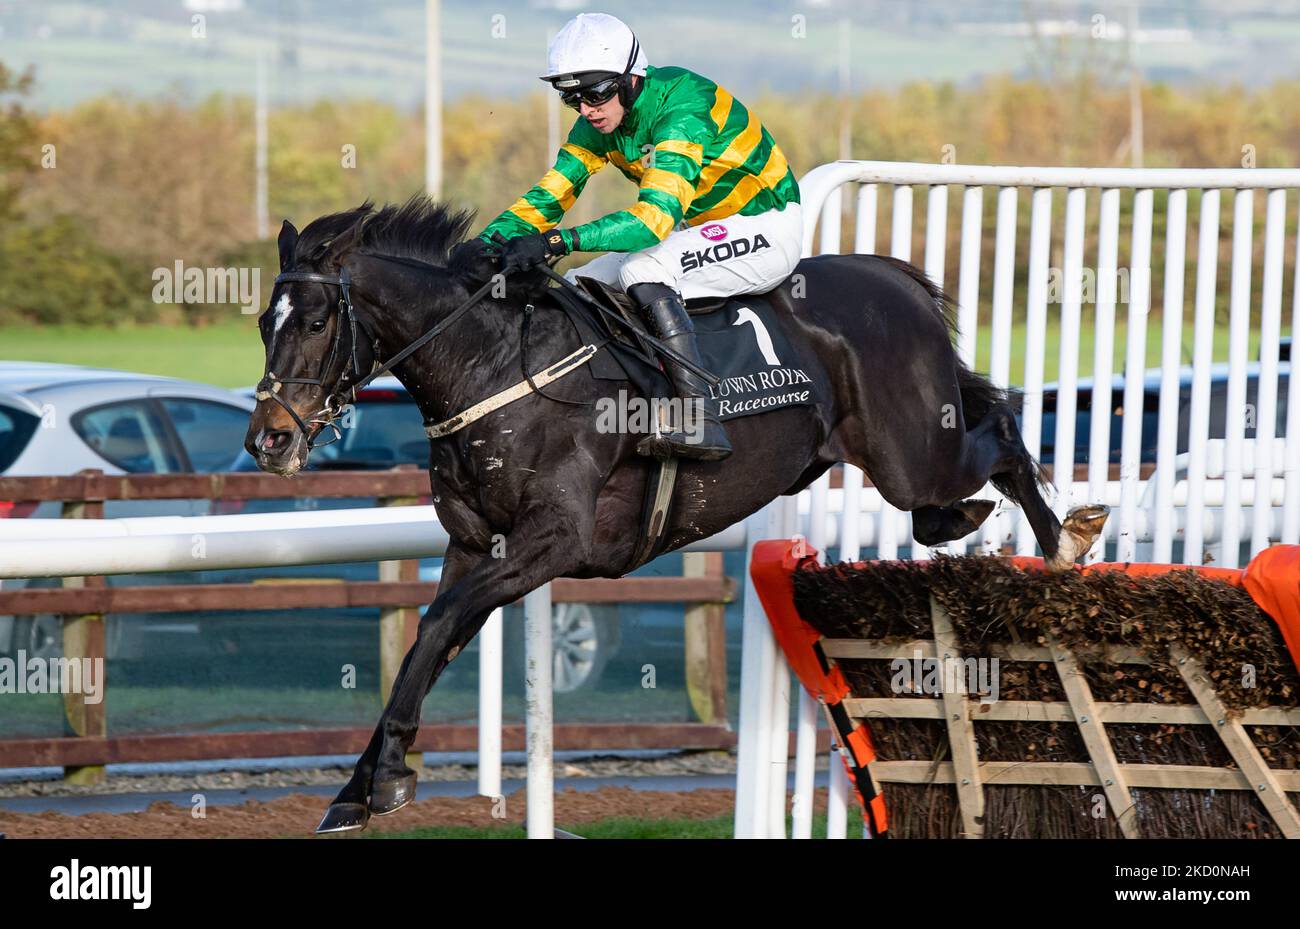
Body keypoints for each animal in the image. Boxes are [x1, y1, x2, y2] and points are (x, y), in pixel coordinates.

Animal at [241, 197, 1107, 836]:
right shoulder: (473, 544)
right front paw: (359, 787)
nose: (268, 439)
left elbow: (437, 624)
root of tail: (890, 277)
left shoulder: (553, 540)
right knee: (964, 466)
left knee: (1000, 431)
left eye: (315, 321)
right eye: (260, 323)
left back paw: (1065, 542)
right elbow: (432, 638)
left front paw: (384, 775)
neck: (495, 365)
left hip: (910, 450)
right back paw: (967, 524)